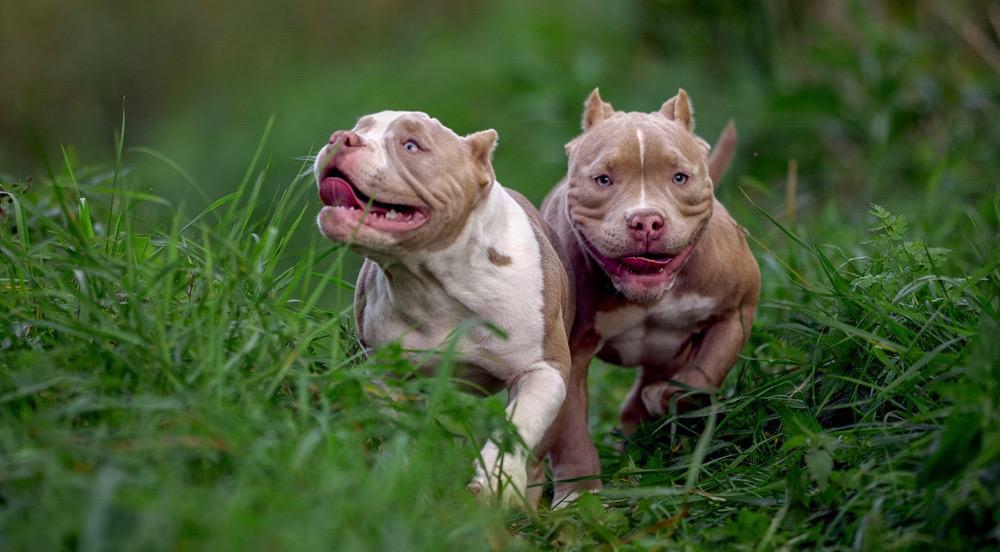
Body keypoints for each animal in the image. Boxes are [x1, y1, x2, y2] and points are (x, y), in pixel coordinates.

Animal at [544, 87, 760, 504]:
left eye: (680, 177)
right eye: (603, 179)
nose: (646, 221)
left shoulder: (737, 310)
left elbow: (707, 372)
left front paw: (668, 397)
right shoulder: (570, 352)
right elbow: (572, 429)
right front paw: (579, 495)